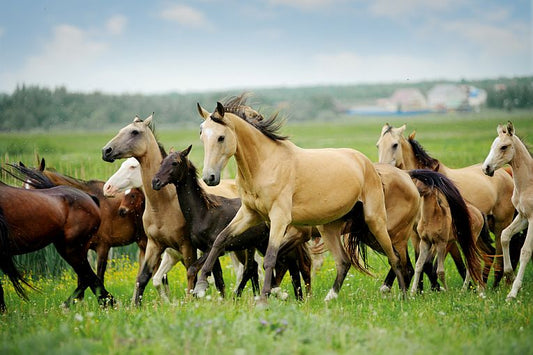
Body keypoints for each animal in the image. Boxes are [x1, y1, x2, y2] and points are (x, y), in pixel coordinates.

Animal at [152, 145, 312, 300]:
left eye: (175, 162)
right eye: (161, 162)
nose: (155, 182)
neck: (203, 213)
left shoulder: (213, 249)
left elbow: (193, 270)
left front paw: (190, 298)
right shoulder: (209, 250)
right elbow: (218, 279)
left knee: (291, 264)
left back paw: (294, 297)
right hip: (260, 243)